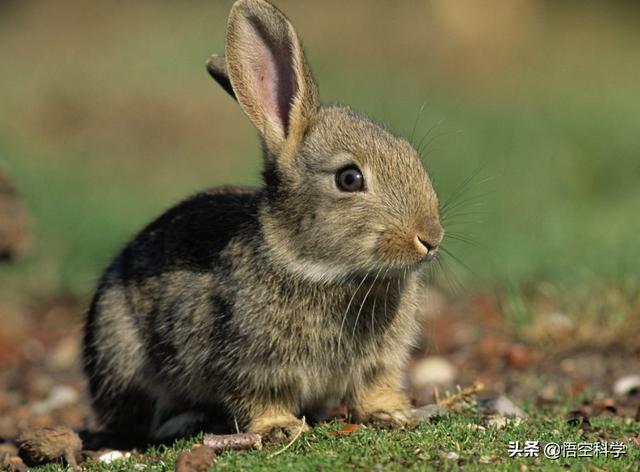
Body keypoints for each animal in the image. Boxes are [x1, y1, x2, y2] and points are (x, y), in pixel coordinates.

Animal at [84, 0, 444, 442]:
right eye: (349, 178)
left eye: (410, 155)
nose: (430, 238)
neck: (322, 271)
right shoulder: (247, 362)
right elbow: (259, 398)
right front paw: (280, 428)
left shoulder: (379, 362)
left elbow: (373, 386)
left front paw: (391, 413)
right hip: (120, 349)